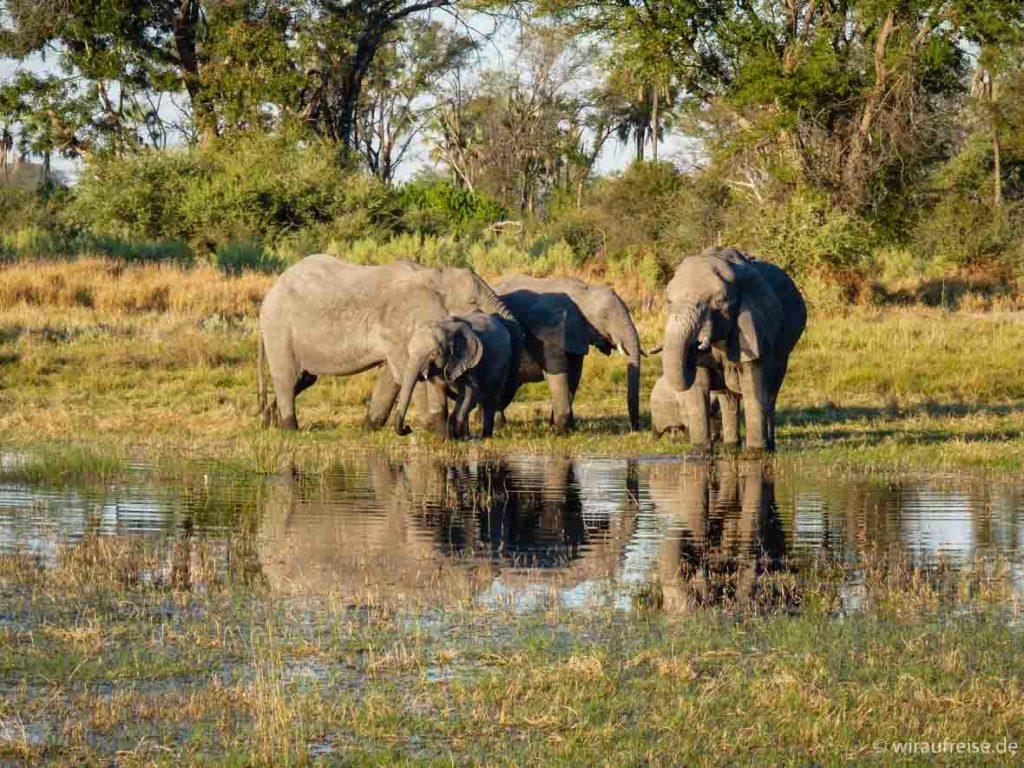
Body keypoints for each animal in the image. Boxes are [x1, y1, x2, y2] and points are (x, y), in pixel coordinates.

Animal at [252, 256, 516, 436]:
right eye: (472, 302)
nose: (407, 428)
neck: (433, 274)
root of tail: (268, 294)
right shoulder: (402, 324)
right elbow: (411, 375)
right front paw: (430, 430)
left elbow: (391, 378)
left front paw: (369, 429)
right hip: (279, 329)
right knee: (287, 378)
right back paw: (290, 428)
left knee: (304, 379)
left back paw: (269, 423)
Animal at [493, 274, 638, 434]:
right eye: (605, 316)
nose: (635, 429)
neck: (583, 291)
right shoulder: (550, 333)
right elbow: (558, 374)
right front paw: (562, 431)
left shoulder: (576, 337)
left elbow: (574, 375)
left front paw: (563, 427)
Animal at [663, 246, 806, 454]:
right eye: (668, 301)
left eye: (718, 303)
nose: (697, 344)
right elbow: (699, 384)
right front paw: (698, 453)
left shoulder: (755, 326)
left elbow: (752, 381)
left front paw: (755, 454)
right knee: (728, 397)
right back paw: (731, 447)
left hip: (784, 349)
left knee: (770, 393)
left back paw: (769, 446)